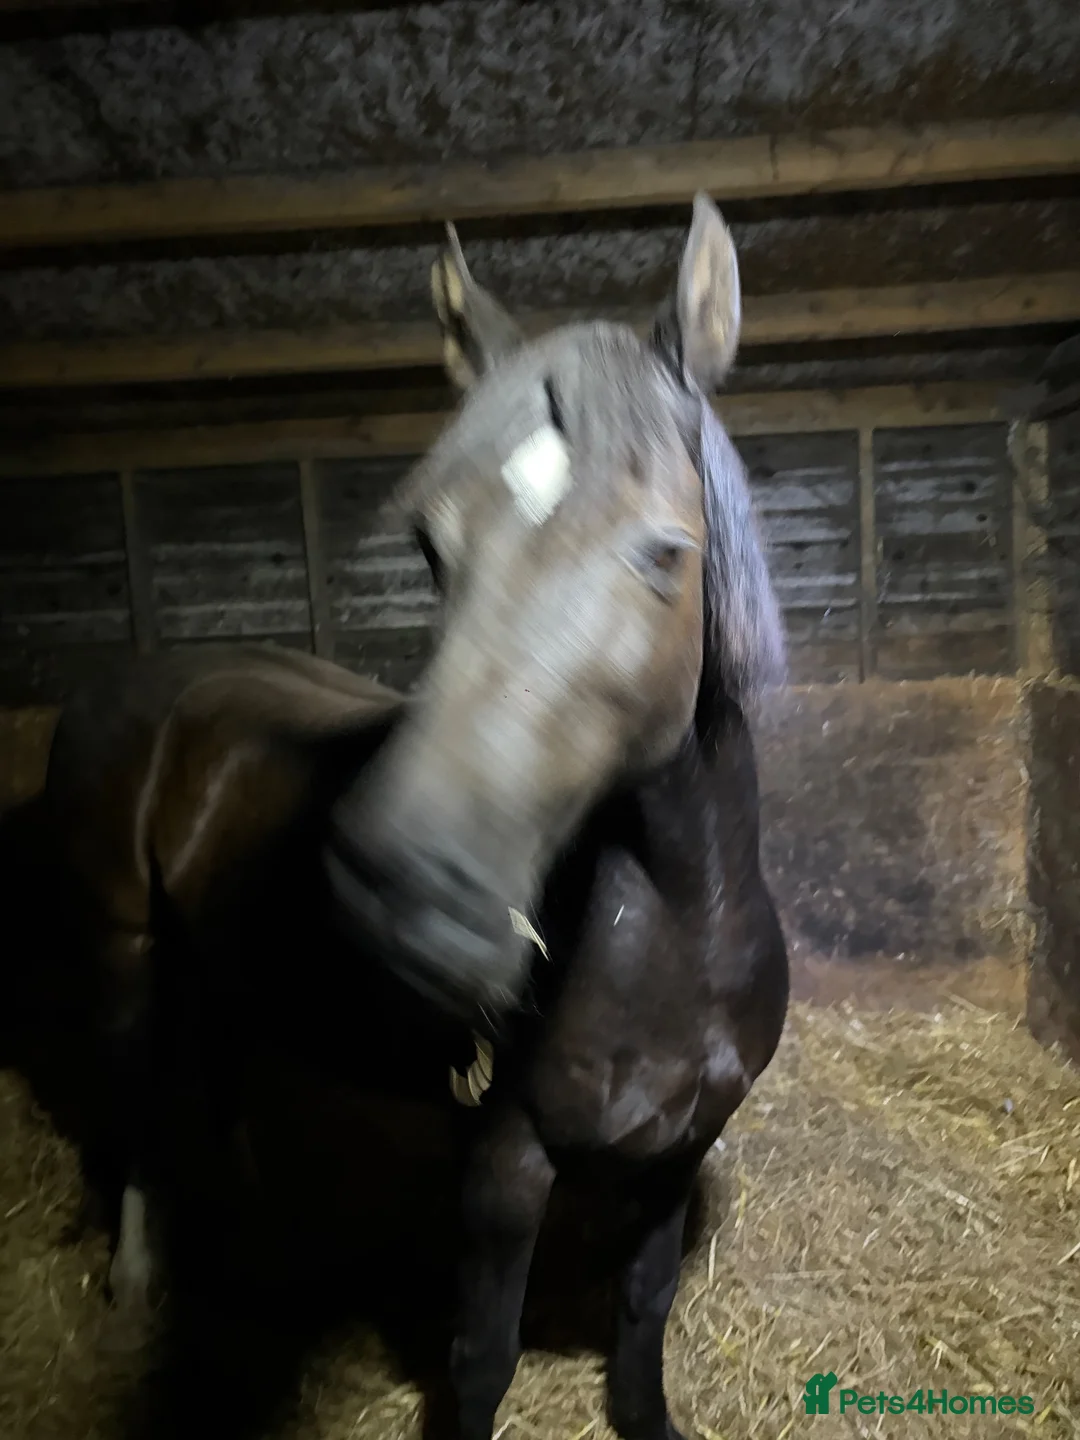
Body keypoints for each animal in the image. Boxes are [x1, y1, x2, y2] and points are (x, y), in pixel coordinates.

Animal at [11, 192, 789, 1440]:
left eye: (664, 551)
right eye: (431, 547)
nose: (403, 891)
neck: (674, 930)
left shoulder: (678, 1149)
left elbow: (645, 1311)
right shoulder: (505, 1167)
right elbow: (481, 1358)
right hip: (121, 947)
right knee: (134, 1116)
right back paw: (139, 1281)